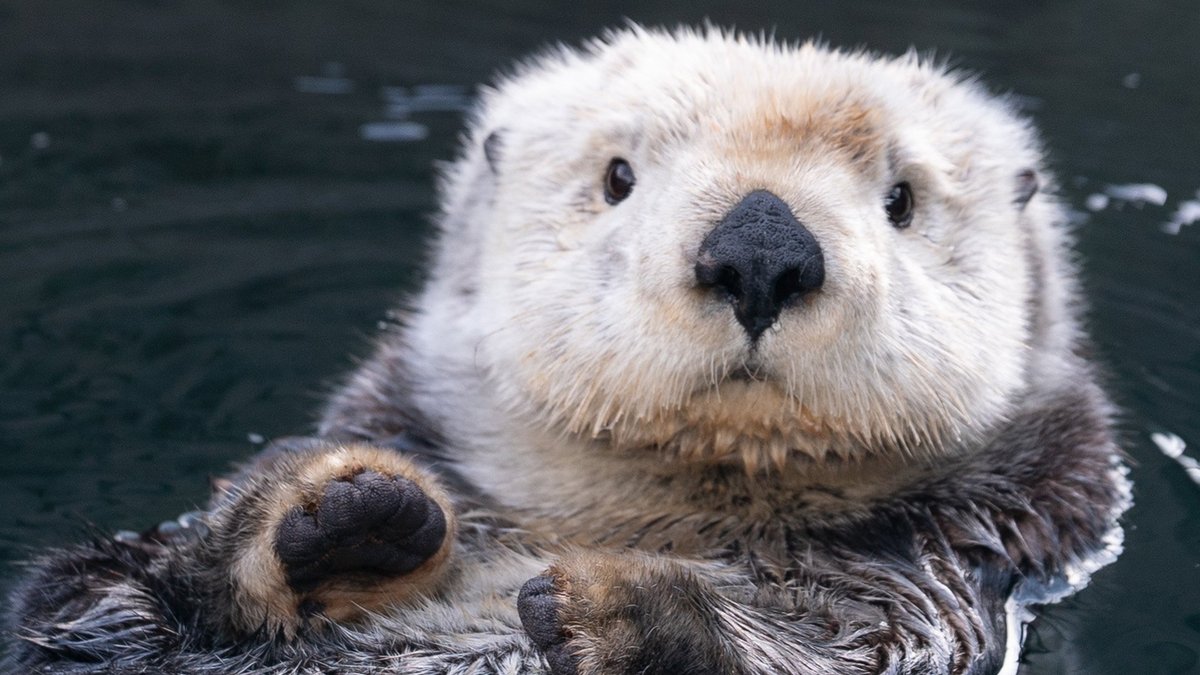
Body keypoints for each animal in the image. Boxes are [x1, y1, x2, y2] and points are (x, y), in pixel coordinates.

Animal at [2, 27, 1123, 672]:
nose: (762, 251)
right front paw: (334, 514)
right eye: (619, 175)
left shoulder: (932, 586)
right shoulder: (91, 624)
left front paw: (624, 615)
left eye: (901, 200)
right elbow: (93, 597)